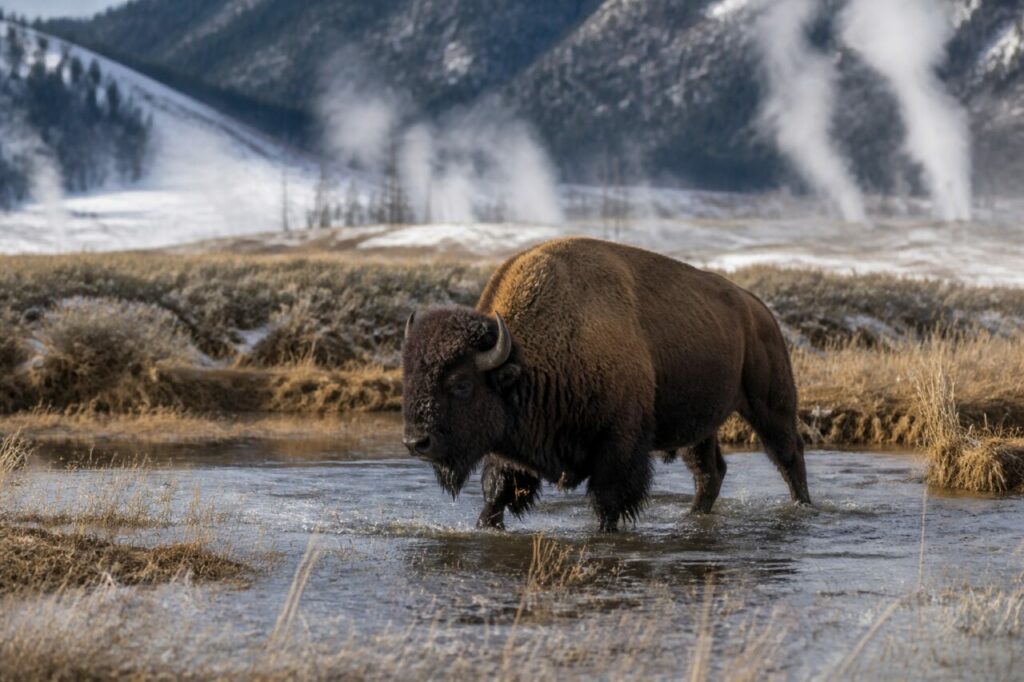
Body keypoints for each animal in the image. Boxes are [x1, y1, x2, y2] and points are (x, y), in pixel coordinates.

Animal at [401, 238, 810, 531]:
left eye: (461, 384)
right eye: (410, 376)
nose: (415, 442)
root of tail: (758, 310)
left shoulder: (618, 448)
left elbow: (607, 504)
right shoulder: (509, 451)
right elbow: (495, 496)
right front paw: (485, 525)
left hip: (769, 405)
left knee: (789, 455)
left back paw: (803, 507)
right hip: (700, 427)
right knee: (710, 473)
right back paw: (692, 518)